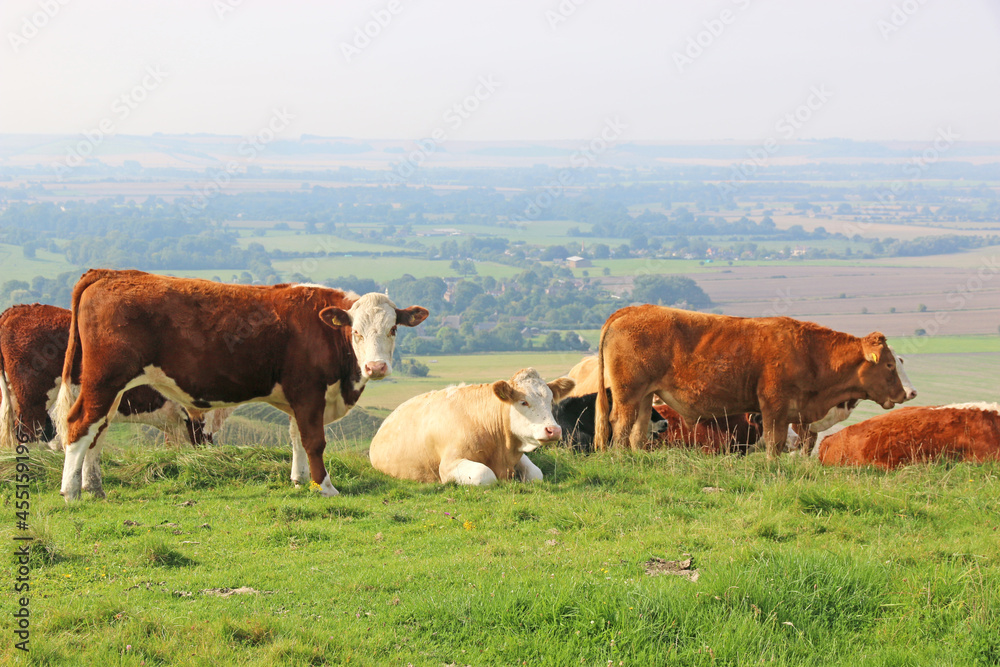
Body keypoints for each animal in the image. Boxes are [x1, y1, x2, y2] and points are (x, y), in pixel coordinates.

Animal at [54, 270, 428, 501]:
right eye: (356, 332)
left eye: (393, 329)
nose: (376, 367)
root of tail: (110, 273)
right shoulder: (309, 392)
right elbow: (314, 441)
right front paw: (323, 486)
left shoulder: (298, 398)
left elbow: (296, 438)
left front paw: (298, 481)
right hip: (104, 379)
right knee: (80, 425)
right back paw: (72, 492)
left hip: (111, 387)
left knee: (98, 431)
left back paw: (94, 488)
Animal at [368, 368, 575, 485]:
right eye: (523, 402)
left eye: (550, 401)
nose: (554, 430)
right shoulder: (448, 465)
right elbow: (485, 474)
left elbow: (536, 474)